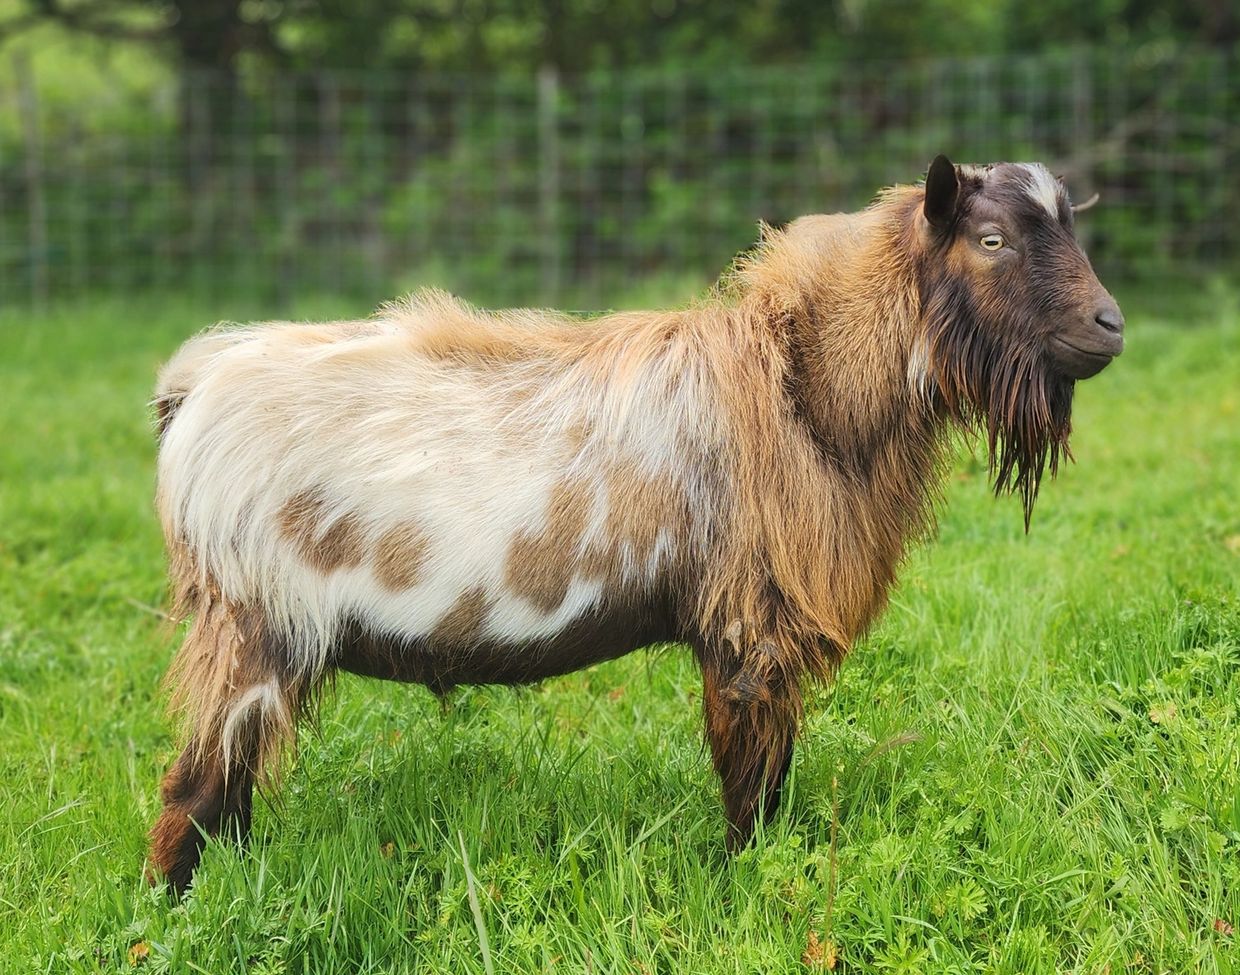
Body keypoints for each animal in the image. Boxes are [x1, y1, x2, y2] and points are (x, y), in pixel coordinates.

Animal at [148, 156, 1123, 892]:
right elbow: (753, 784)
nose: (1109, 325)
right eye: (992, 241)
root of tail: (195, 385)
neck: (803, 388)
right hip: (255, 625)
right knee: (196, 790)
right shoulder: (749, 628)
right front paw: (745, 881)